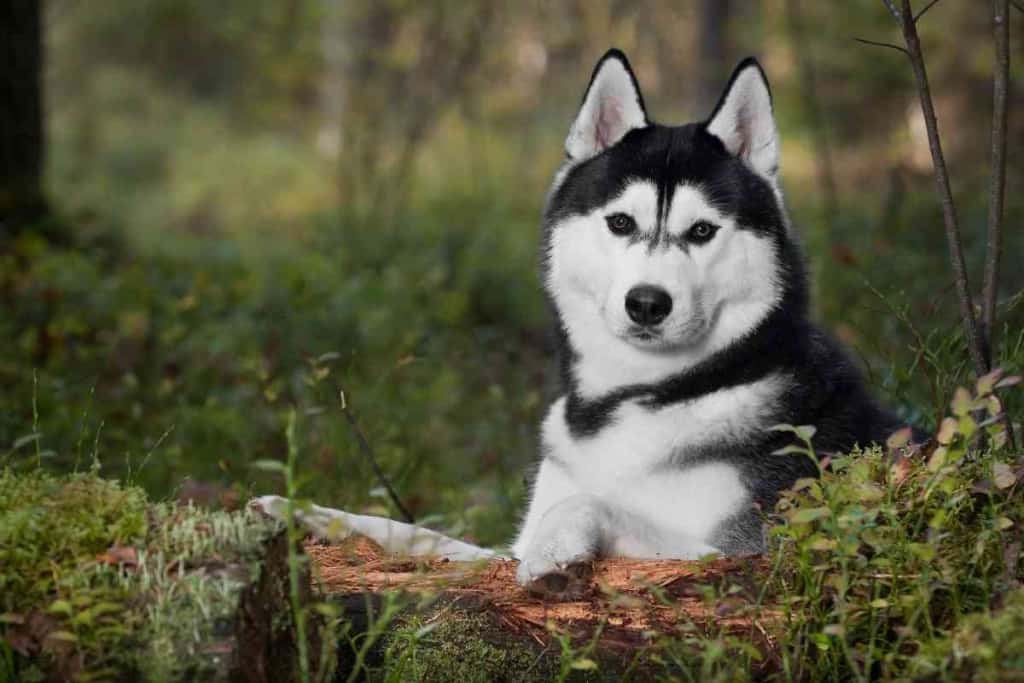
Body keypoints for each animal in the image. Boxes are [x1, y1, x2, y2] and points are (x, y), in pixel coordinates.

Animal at [251, 48, 909, 593]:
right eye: (620, 222)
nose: (647, 303)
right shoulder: (501, 547)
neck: (642, 397)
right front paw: (303, 512)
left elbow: (592, 504)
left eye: (702, 231)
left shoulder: (745, 552)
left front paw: (558, 552)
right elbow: (417, 533)